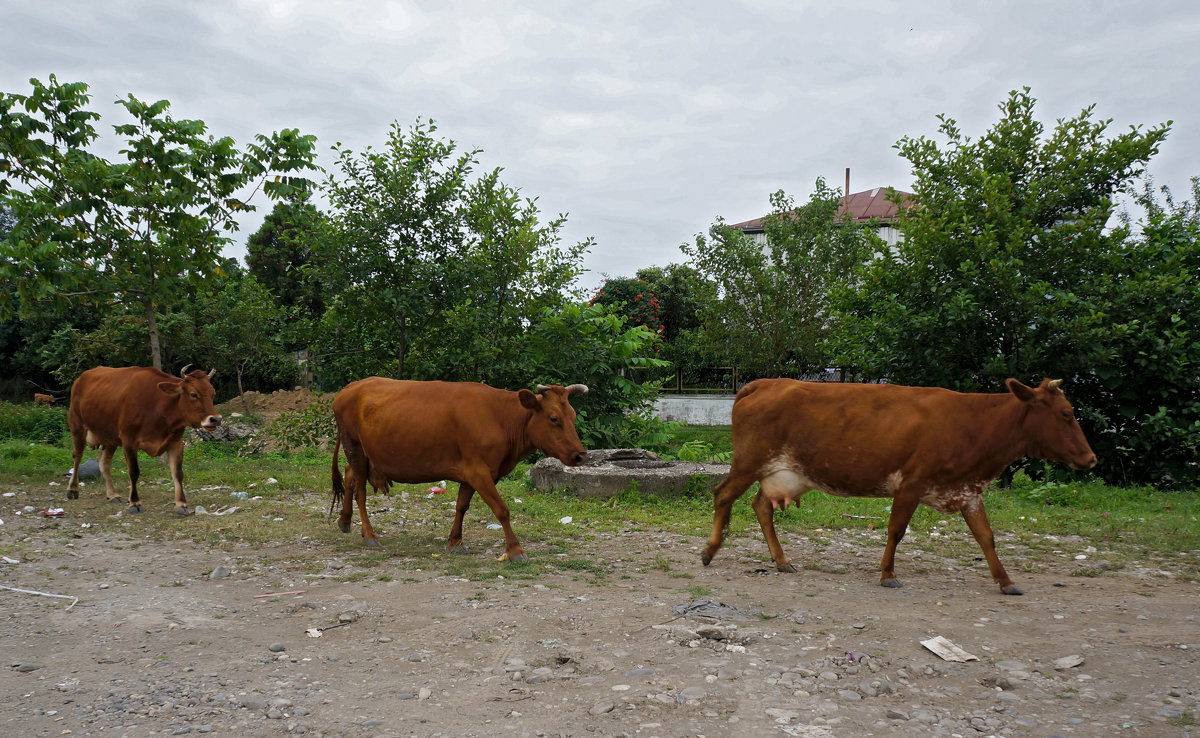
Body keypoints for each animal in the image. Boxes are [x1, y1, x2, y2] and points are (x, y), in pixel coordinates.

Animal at [67, 367, 223, 516]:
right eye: (193, 394)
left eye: (213, 393)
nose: (215, 419)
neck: (159, 407)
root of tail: (81, 378)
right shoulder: (129, 441)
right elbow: (134, 472)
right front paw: (135, 503)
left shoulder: (176, 443)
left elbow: (178, 473)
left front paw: (181, 504)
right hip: (77, 426)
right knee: (77, 457)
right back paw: (72, 490)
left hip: (110, 437)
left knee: (104, 461)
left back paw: (112, 495)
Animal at [333, 381, 585, 559]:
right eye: (554, 418)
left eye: (573, 417)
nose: (580, 455)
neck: (501, 418)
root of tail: (351, 386)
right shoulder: (479, 472)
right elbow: (502, 510)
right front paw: (515, 550)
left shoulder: (471, 472)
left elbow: (461, 506)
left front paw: (455, 541)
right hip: (354, 446)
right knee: (360, 491)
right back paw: (369, 535)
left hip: (364, 455)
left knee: (349, 474)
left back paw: (345, 520)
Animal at [700, 379, 1099, 597]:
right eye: (1066, 414)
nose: (1092, 458)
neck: (974, 424)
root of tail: (766, 382)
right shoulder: (911, 485)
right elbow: (896, 530)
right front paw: (888, 574)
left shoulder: (969, 491)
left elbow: (986, 537)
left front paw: (1005, 580)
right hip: (749, 462)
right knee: (723, 495)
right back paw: (710, 550)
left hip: (777, 471)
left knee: (761, 507)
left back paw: (782, 561)